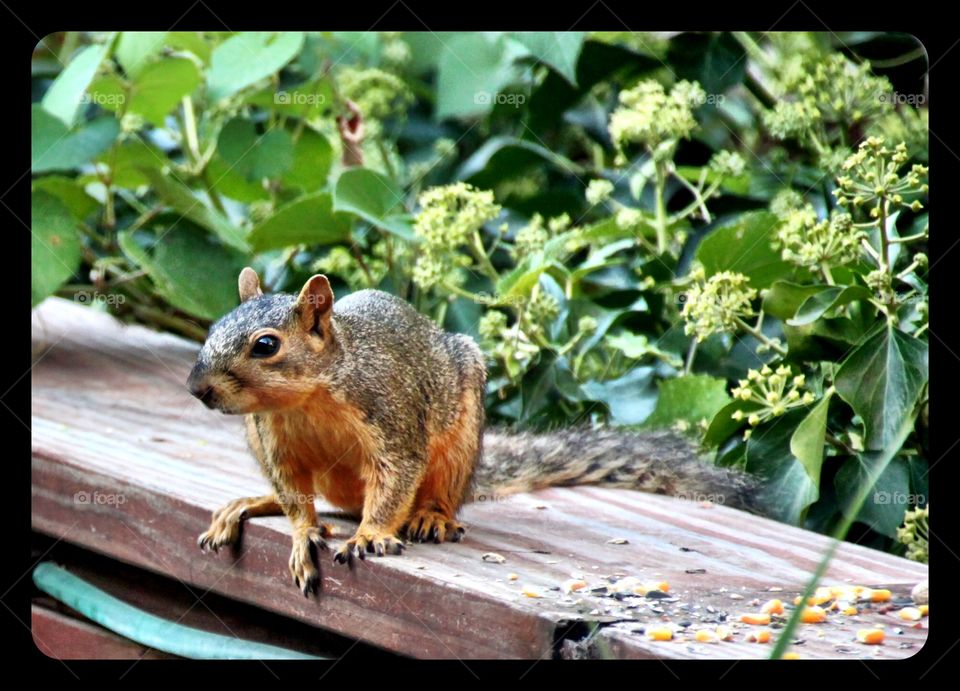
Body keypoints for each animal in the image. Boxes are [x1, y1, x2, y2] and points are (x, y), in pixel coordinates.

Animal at [188, 268, 756, 596]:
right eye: (214, 328)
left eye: (266, 345)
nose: (197, 388)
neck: (308, 399)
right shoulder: (274, 441)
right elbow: (295, 497)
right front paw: (304, 533)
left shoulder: (391, 420)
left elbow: (394, 481)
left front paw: (371, 535)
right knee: (318, 498)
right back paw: (251, 503)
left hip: (460, 437)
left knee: (433, 493)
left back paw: (431, 517)